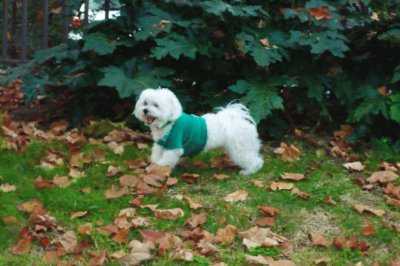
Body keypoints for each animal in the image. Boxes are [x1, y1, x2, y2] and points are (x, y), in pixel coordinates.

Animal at [134, 88, 264, 175]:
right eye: (145, 103)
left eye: (156, 105)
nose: (145, 110)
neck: (169, 122)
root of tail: (236, 118)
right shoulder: (161, 144)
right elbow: (156, 156)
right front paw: (153, 166)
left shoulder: (174, 146)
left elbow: (165, 161)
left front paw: (158, 169)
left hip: (240, 148)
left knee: (254, 160)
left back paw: (249, 171)